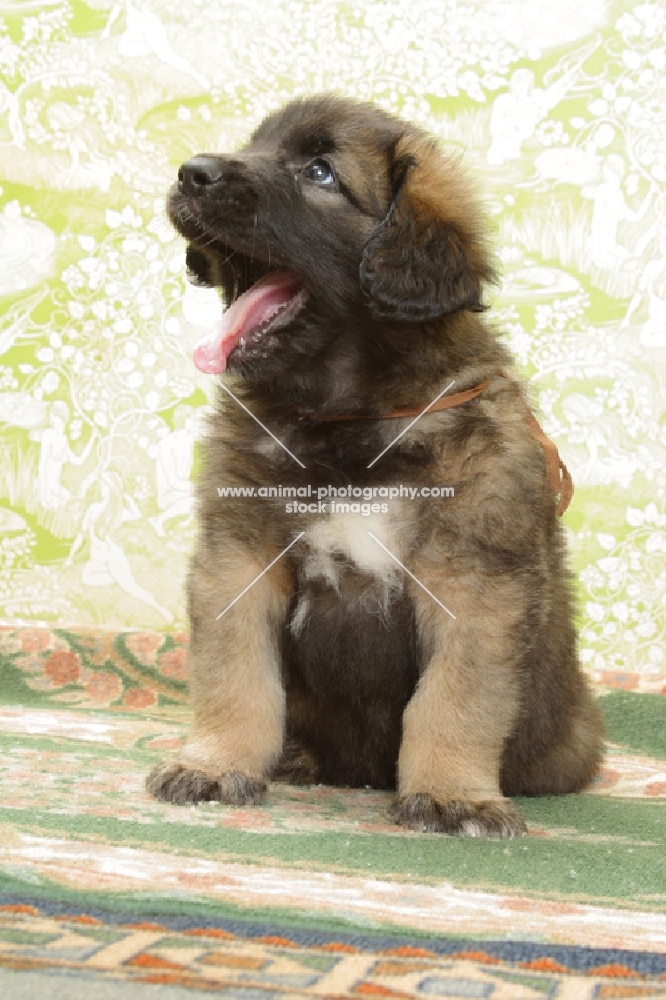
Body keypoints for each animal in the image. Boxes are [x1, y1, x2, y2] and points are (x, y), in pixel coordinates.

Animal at [148, 97, 604, 840]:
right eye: (256, 144)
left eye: (320, 171)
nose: (193, 172)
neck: (349, 417)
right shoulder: (239, 557)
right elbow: (235, 675)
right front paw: (215, 764)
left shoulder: (475, 578)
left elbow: (456, 698)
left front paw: (452, 794)